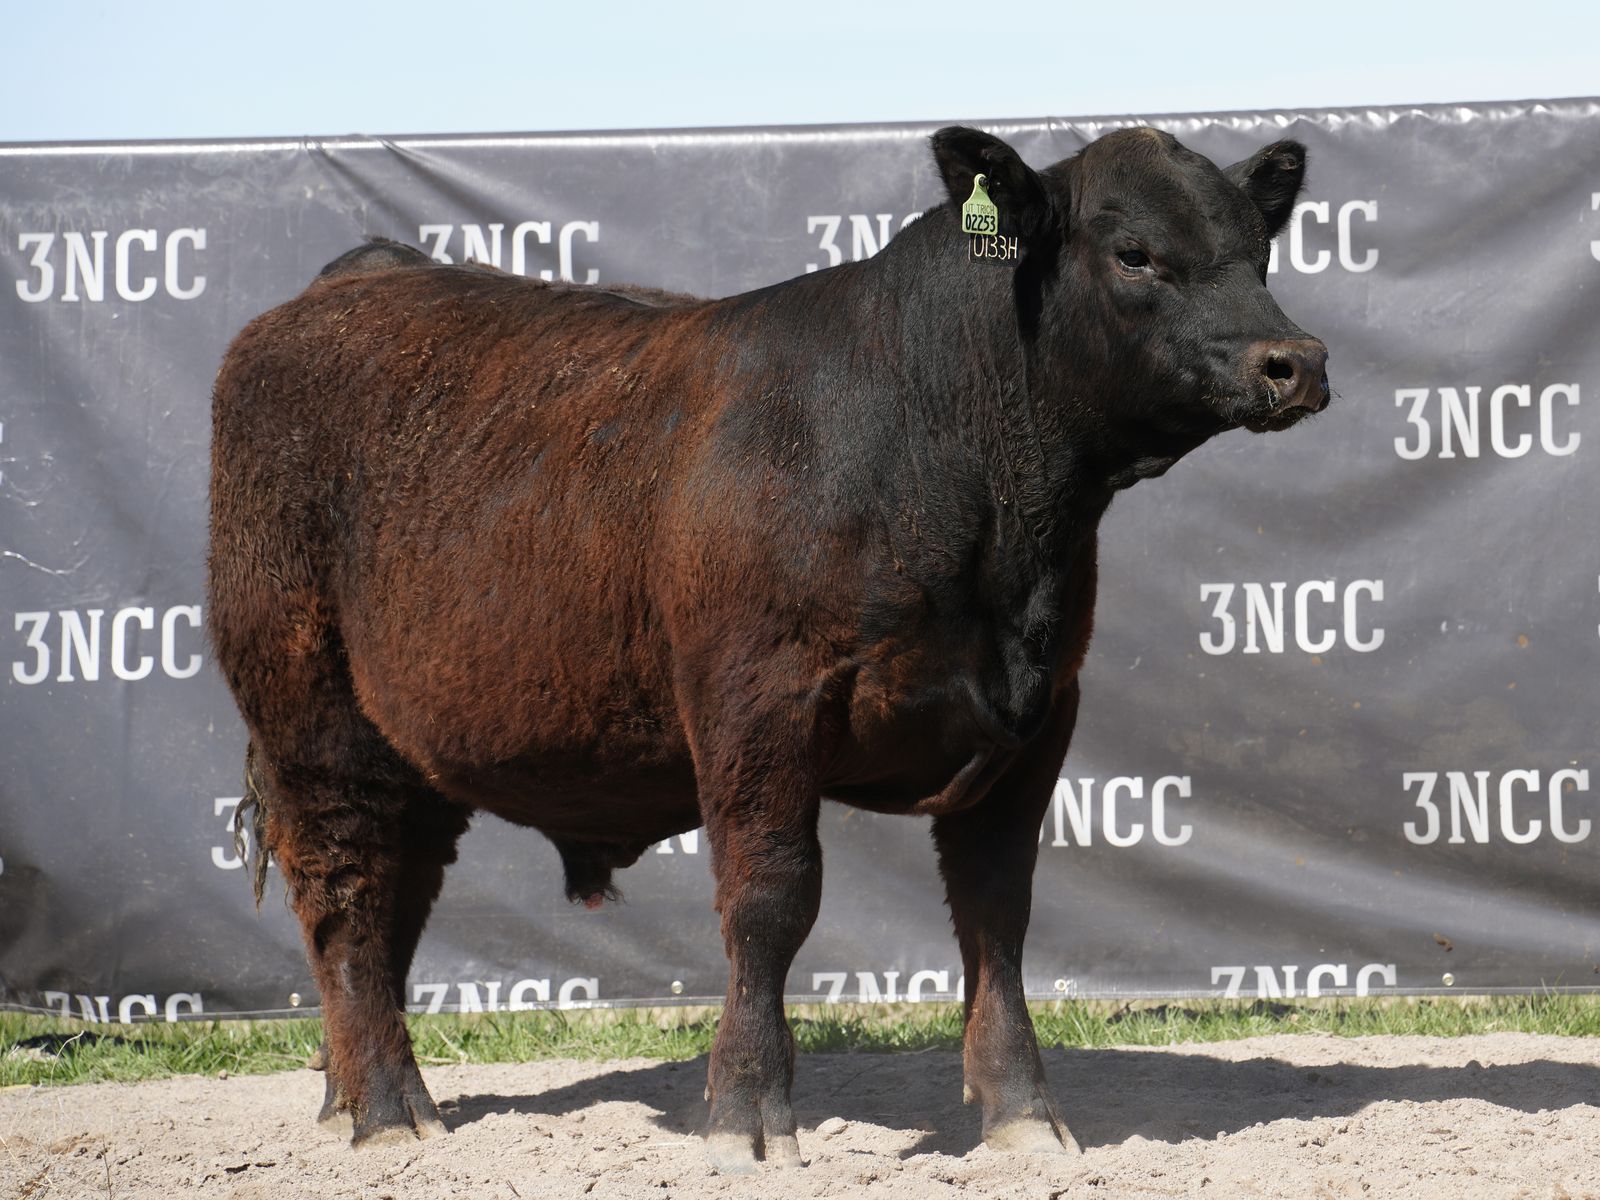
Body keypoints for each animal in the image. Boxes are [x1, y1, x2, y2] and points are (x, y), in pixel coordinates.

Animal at [208, 123, 1329, 1174]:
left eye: (1258, 250)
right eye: (1135, 253)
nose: (1297, 362)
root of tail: (364, 277)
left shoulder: (1039, 708)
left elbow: (996, 912)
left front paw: (1022, 1114)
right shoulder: (760, 698)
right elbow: (769, 903)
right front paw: (745, 1116)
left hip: (417, 734)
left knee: (396, 890)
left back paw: (351, 1089)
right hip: (310, 708)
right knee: (345, 885)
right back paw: (388, 1110)